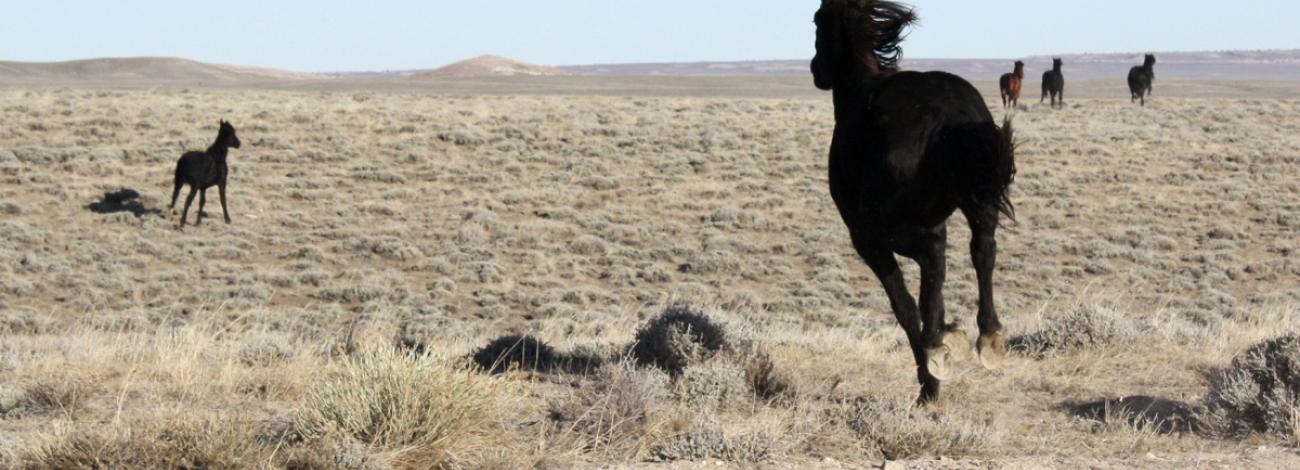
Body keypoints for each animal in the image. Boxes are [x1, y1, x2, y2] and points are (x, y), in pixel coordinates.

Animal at [812, 0, 1016, 404]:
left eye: (816, 21)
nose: (815, 69)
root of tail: (951, 114)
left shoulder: (866, 237)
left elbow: (904, 304)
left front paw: (931, 380)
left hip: (904, 220)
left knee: (934, 257)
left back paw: (938, 346)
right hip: (979, 202)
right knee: (983, 249)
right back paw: (986, 335)